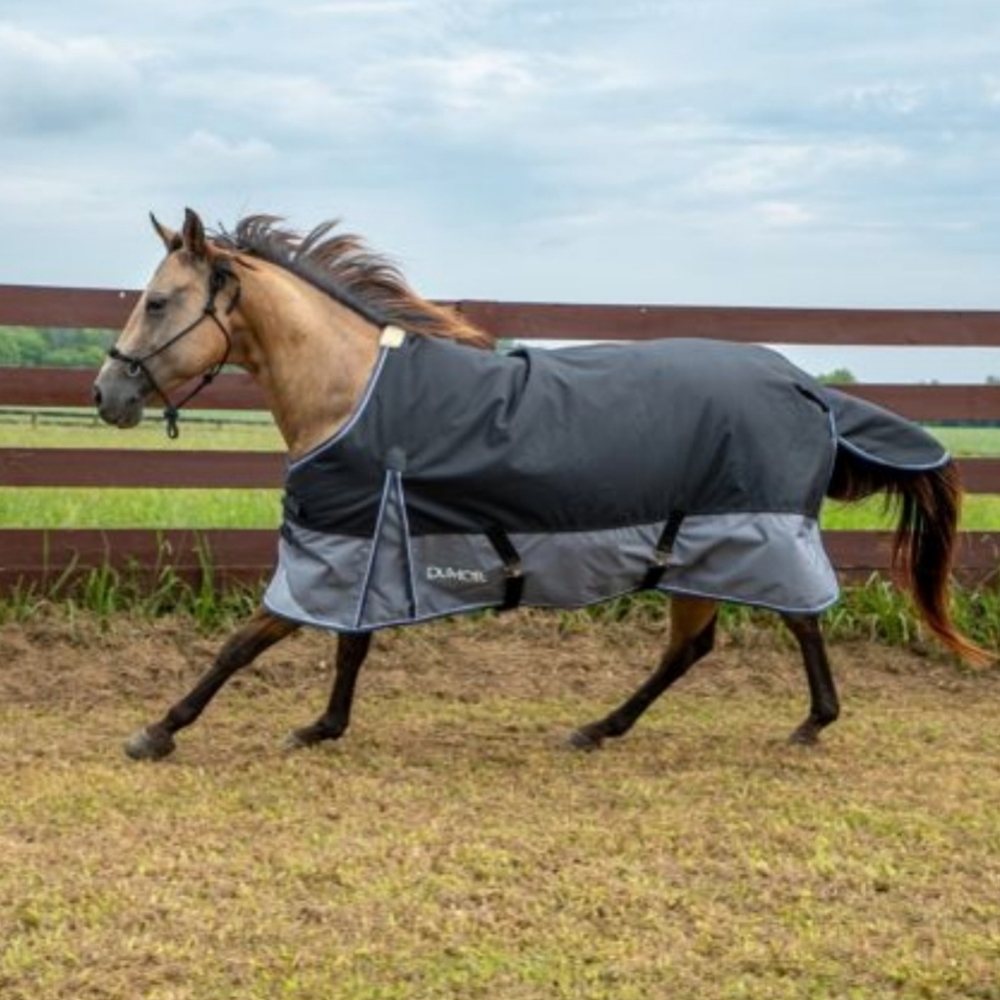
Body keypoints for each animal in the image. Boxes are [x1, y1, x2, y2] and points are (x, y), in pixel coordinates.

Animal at [93, 209, 988, 761]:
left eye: (159, 300)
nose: (107, 395)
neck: (353, 390)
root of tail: (805, 385)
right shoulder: (372, 543)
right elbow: (349, 642)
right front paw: (322, 725)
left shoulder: (340, 546)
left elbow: (248, 641)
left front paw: (157, 731)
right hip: (697, 547)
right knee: (698, 646)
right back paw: (605, 727)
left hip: (746, 537)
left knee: (790, 620)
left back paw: (805, 723)